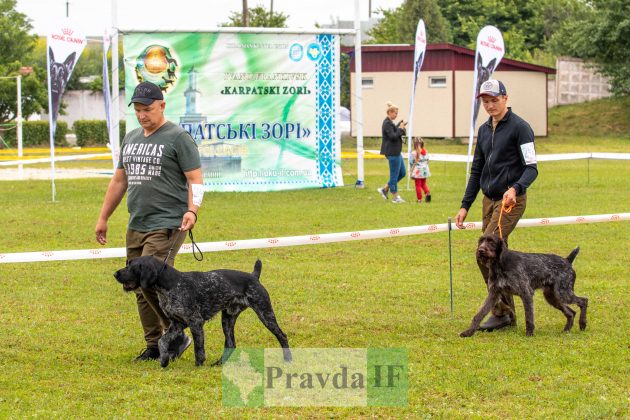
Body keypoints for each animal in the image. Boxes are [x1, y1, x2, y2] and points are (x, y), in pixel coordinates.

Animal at [115, 254, 292, 366]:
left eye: (130, 266)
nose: (115, 274)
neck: (169, 285)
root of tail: (254, 276)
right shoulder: (176, 324)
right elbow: (162, 341)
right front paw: (164, 360)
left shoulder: (195, 322)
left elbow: (198, 349)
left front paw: (198, 366)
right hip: (227, 318)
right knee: (231, 344)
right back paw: (220, 363)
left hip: (265, 313)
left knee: (282, 336)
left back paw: (288, 359)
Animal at [462, 233, 592, 338]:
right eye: (481, 241)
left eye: (491, 242)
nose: (480, 250)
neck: (499, 264)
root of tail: (567, 260)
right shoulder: (494, 294)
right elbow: (479, 315)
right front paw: (468, 332)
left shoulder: (526, 293)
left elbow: (529, 317)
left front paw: (529, 334)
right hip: (552, 296)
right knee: (571, 312)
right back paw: (566, 330)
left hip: (563, 293)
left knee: (584, 301)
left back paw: (582, 324)